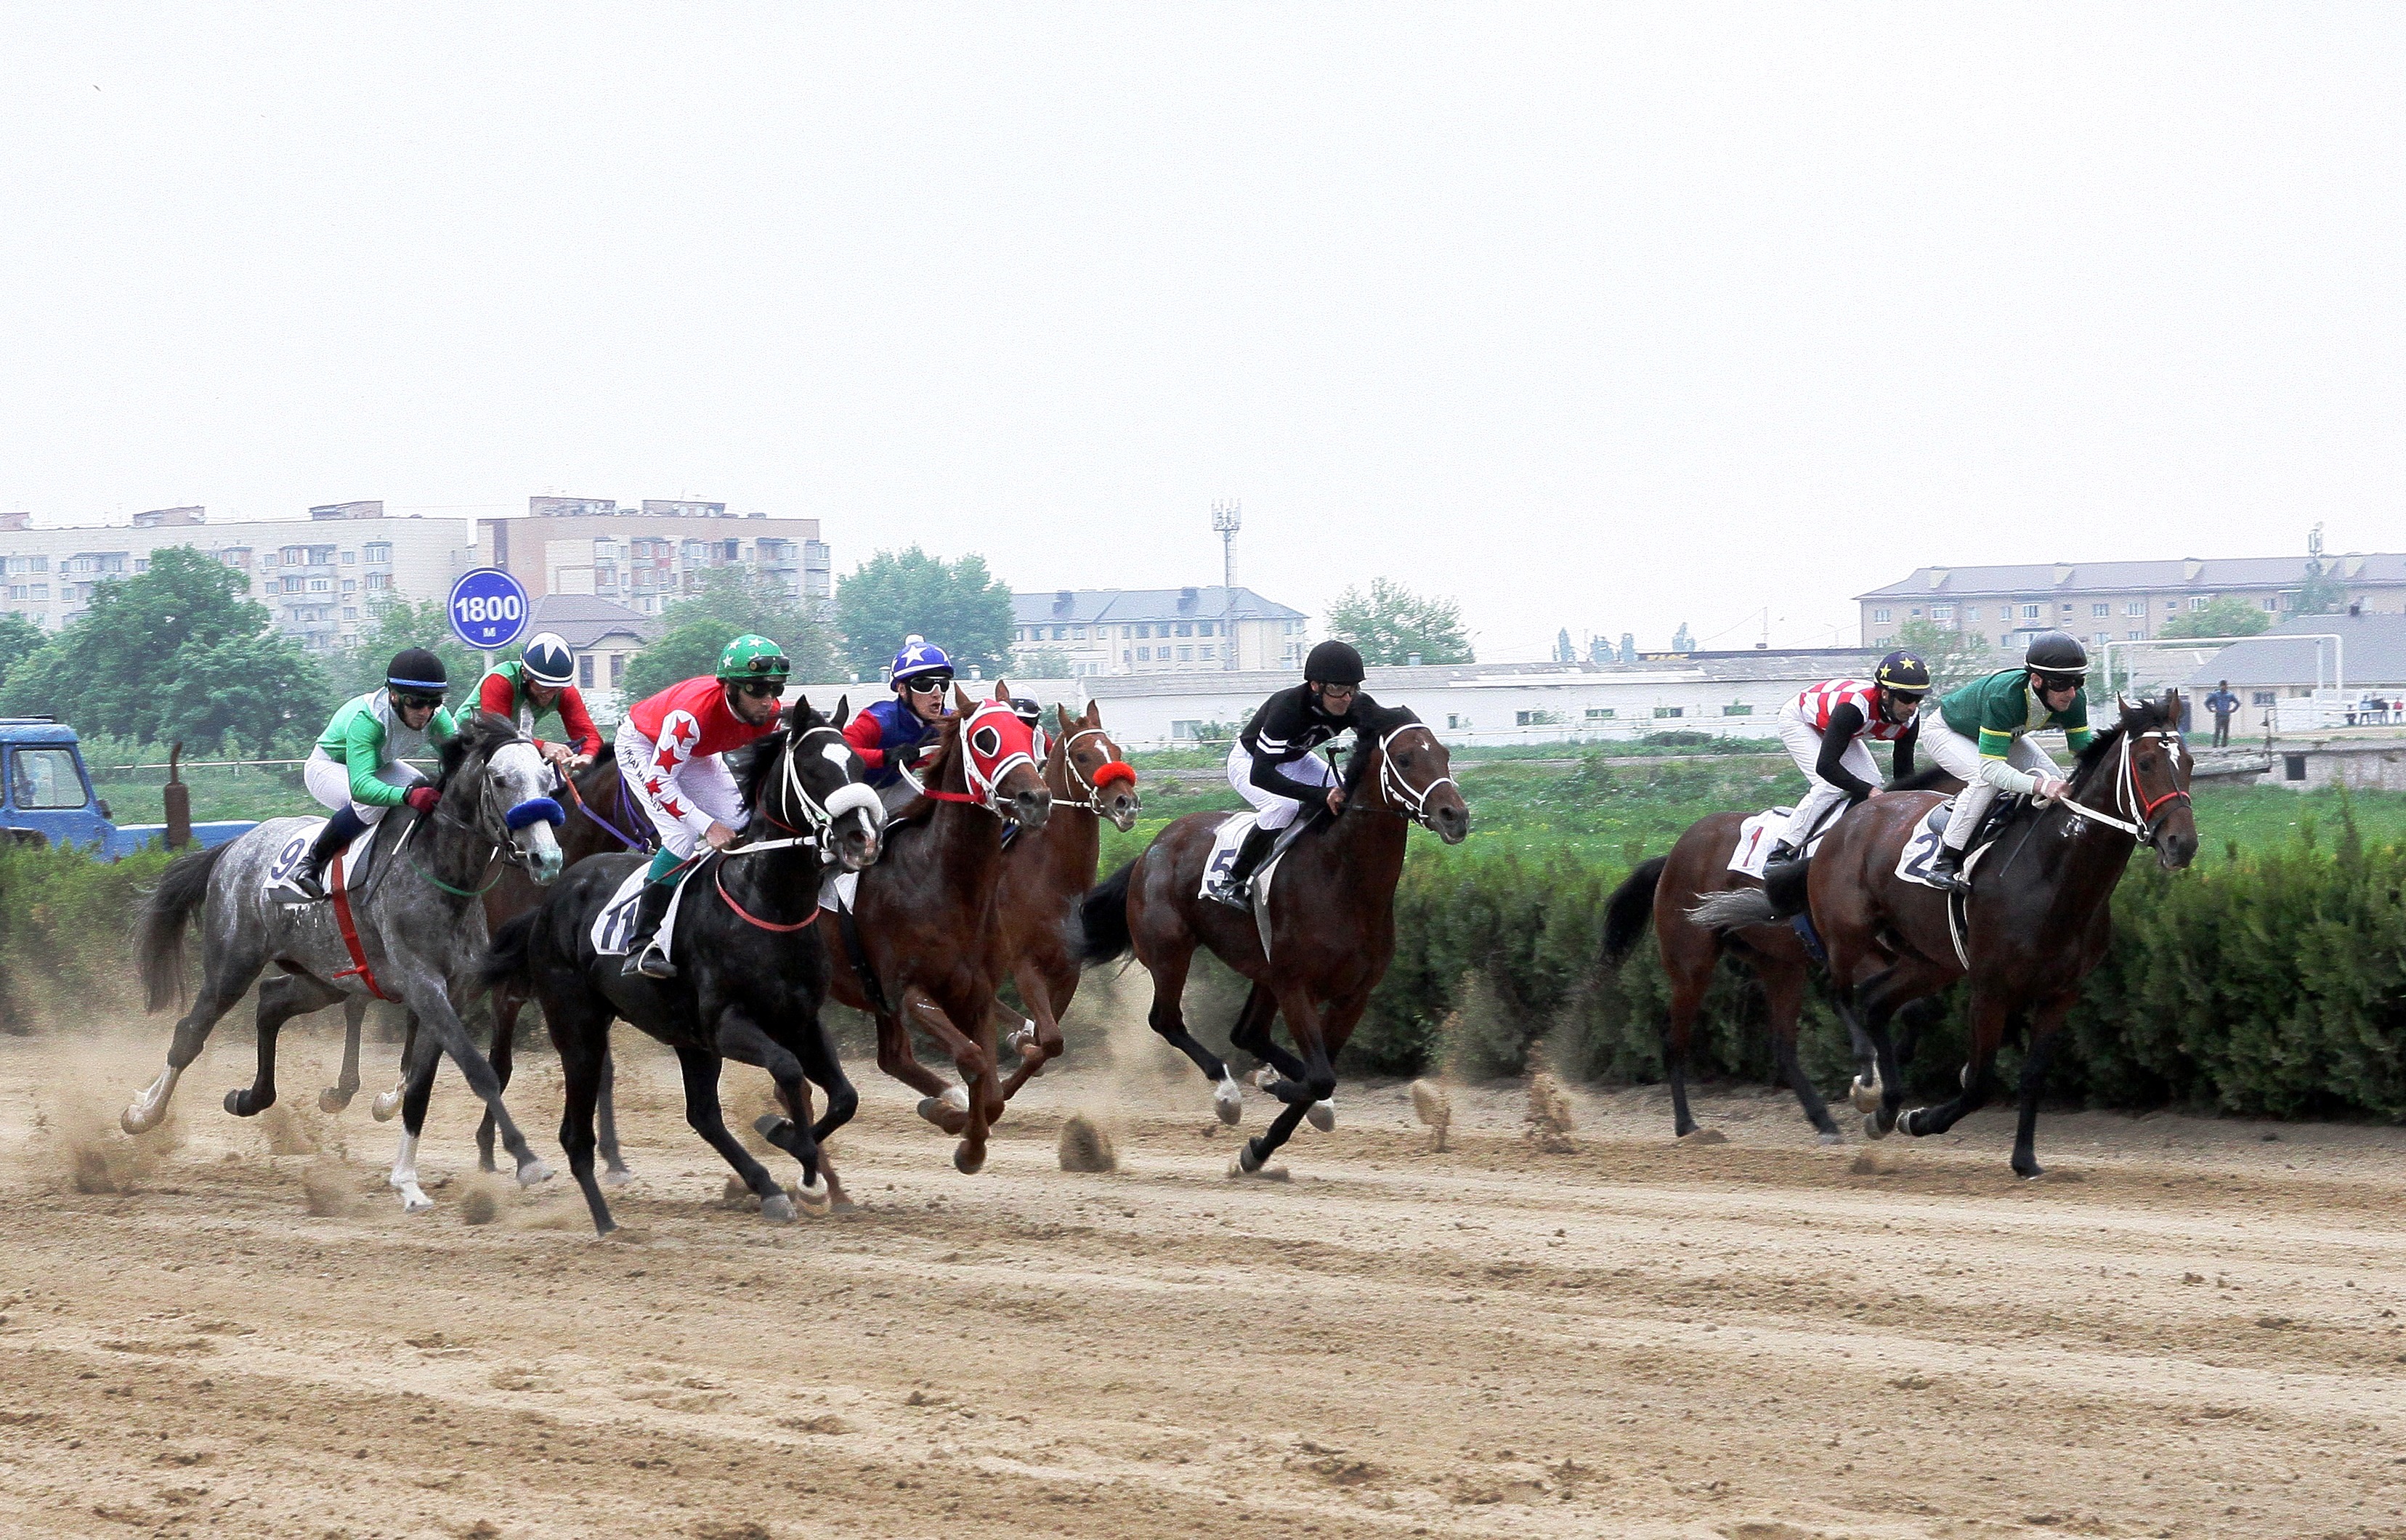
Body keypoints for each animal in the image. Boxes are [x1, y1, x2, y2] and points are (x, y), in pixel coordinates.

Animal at [128, 717, 567, 1207]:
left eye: (549, 781)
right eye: (501, 779)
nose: (547, 859)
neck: (441, 871)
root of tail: (235, 844)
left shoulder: (451, 993)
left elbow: (421, 1085)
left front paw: (406, 1180)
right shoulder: (423, 986)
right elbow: (479, 1071)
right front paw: (526, 1160)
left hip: (322, 977)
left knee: (271, 1002)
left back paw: (248, 1098)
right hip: (232, 965)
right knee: (191, 1031)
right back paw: (143, 1114)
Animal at [474, 702, 880, 1232]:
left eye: (857, 763)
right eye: (813, 769)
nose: (862, 838)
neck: (767, 904)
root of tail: (550, 902)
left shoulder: (800, 1022)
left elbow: (845, 1097)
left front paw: (788, 1142)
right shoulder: (727, 1025)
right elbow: (790, 1072)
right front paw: (801, 1161)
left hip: (684, 1037)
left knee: (703, 1115)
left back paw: (765, 1188)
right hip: (578, 1025)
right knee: (574, 1130)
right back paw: (604, 1222)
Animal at [818, 678, 1053, 1174]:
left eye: (1028, 736)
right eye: (986, 739)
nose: (1036, 800)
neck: (942, 883)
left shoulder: (975, 993)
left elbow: (993, 1087)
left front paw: (962, 1128)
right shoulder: (910, 992)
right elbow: (972, 1058)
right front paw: (964, 1135)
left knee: (893, 1059)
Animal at [1073, 702, 1462, 1174]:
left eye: (1443, 754)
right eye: (1404, 759)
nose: (1455, 816)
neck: (1343, 880)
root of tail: (1152, 849)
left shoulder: (1352, 995)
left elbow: (1320, 1075)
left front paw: (1261, 1146)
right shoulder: (1296, 985)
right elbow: (1321, 1076)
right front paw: (1277, 1093)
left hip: (1262, 973)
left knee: (1248, 1033)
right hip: (1171, 952)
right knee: (1166, 1020)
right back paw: (1227, 1093)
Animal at [1693, 693, 2203, 1174]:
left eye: (2189, 762)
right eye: (2145, 763)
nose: (2182, 844)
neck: (2054, 873)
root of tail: (1846, 825)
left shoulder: (2062, 992)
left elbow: (2032, 1077)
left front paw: (2025, 1160)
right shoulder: (1991, 988)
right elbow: (1978, 1083)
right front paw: (1921, 1120)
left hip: (1929, 960)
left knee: (1876, 1000)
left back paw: (1884, 1108)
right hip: (1848, 932)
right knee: (1839, 991)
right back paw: (1869, 1086)